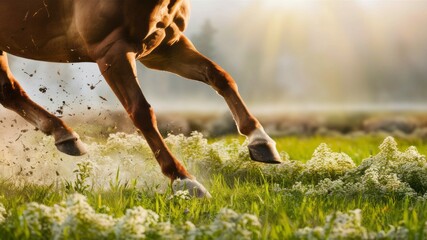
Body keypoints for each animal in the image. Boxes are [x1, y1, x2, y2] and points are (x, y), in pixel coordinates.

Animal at [0, 0, 282, 197]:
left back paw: (65, 136)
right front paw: (184, 180)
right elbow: (141, 112)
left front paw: (261, 140)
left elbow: (220, 77)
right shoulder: (112, 51)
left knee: (9, 91)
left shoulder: (165, 47)